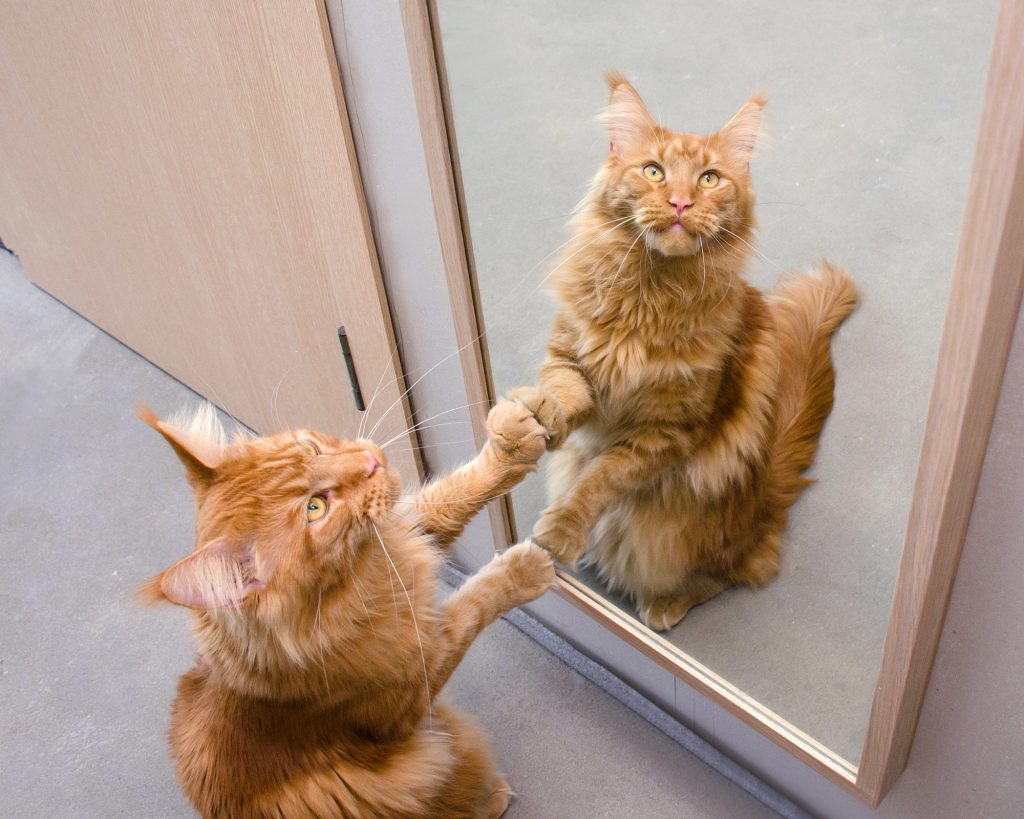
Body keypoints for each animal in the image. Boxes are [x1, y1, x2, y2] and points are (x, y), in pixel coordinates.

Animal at [140, 397, 557, 810]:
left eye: (310, 449)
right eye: (315, 508)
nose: (369, 460)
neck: (361, 577)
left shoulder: (405, 532)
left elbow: (456, 493)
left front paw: (511, 446)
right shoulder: (413, 685)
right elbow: (471, 607)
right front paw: (524, 570)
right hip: (422, 767)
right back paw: (490, 797)